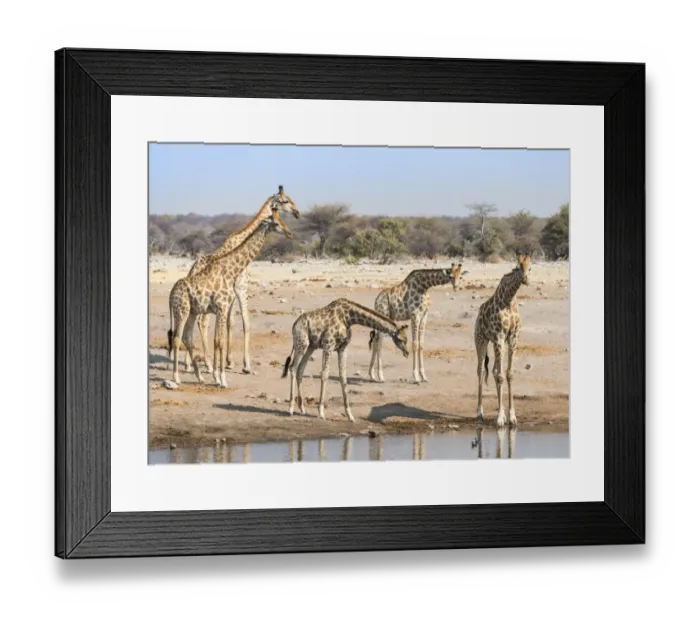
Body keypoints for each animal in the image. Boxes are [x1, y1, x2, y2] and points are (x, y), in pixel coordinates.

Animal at [180, 185, 299, 375]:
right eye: (285, 200)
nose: (297, 213)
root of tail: (193, 269)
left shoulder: (232, 294)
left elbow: (231, 322)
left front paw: (229, 362)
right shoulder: (241, 288)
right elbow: (245, 322)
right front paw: (246, 365)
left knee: (196, 322)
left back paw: (190, 363)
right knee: (202, 322)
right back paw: (207, 364)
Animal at [281, 298, 410, 423]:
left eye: (407, 339)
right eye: (401, 339)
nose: (407, 353)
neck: (348, 318)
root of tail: (294, 325)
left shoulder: (343, 348)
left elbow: (343, 377)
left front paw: (350, 415)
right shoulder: (328, 344)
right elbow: (324, 375)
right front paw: (321, 412)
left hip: (311, 346)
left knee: (300, 370)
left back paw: (302, 409)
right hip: (301, 343)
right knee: (293, 368)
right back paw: (291, 408)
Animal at [474, 253, 532, 428]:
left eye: (530, 268)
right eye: (518, 267)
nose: (526, 279)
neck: (509, 299)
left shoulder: (512, 337)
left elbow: (508, 374)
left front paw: (511, 417)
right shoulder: (499, 336)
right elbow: (500, 376)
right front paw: (500, 418)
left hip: (497, 344)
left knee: (493, 370)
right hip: (481, 339)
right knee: (480, 370)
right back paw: (480, 413)